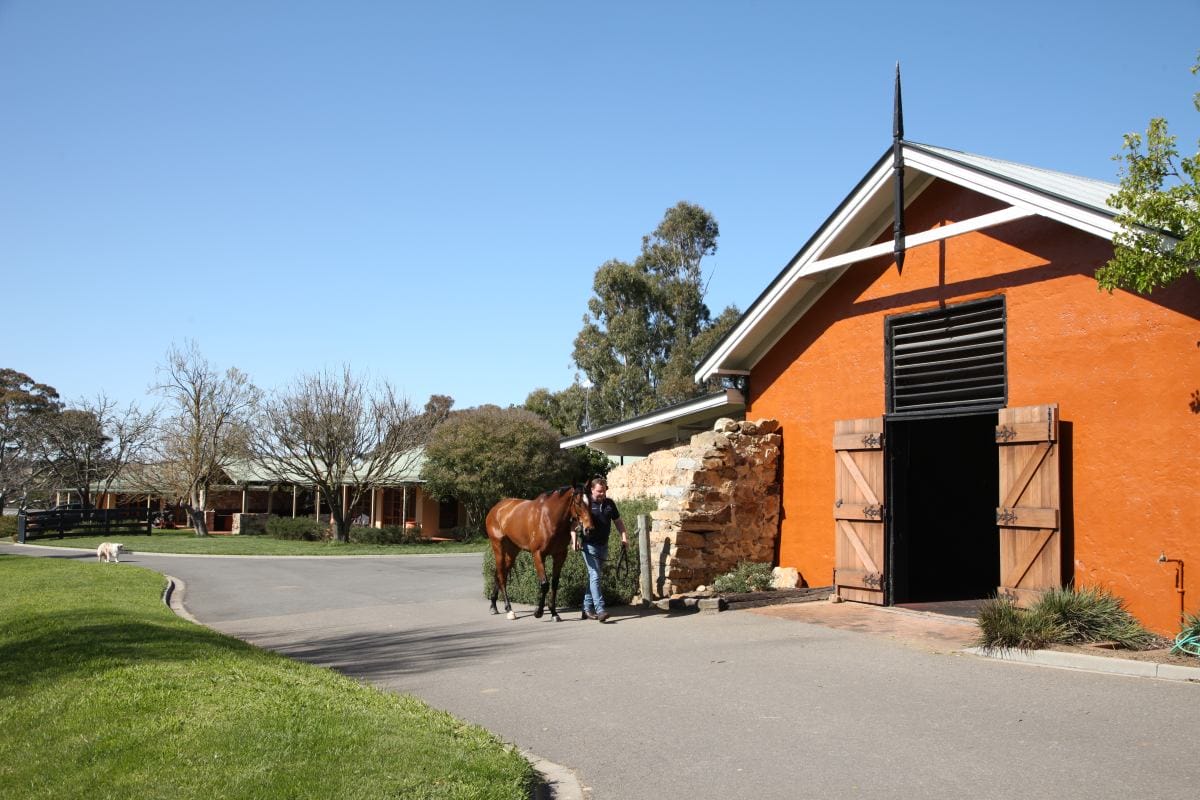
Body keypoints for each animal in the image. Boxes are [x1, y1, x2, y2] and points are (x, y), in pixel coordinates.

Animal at [486, 486, 595, 621]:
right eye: (578, 502)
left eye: (591, 501)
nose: (589, 529)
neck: (549, 518)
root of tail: (495, 509)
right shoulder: (538, 555)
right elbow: (544, 584)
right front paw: (538, 612)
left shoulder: (560, 555)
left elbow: (554, 583)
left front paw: (554, 613)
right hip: (498, 547)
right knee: (501, 575)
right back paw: (509, 609)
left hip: (512, 551)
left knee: (500, 573)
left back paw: (494, 605)